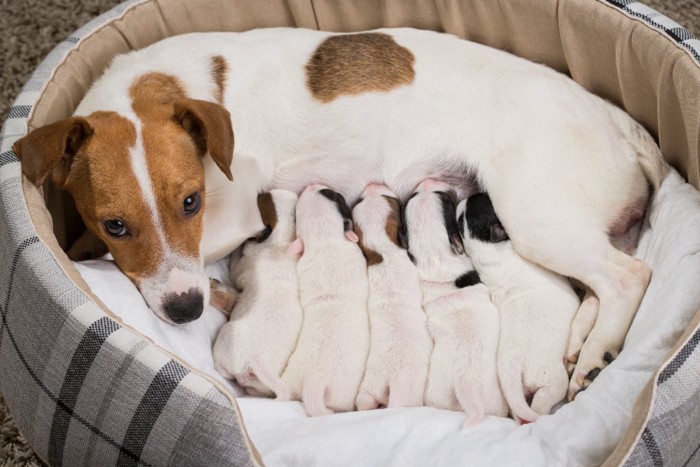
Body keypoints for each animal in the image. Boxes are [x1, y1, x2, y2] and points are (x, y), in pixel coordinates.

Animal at [212, 188, 302, 400]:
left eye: (262, 199)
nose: (262, 191)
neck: (281, 242)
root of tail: (255, 360)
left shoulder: (239, 269)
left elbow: (236, 263)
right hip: (262, 386)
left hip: (226, 337)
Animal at [350, 185, 432, 412]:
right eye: (391, 199)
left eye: (360, 200)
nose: (372, 184)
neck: (382, 250)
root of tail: (390, 385)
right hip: (409, 393)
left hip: (366, 393)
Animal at [456, 192, 576, 422]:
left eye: (460, 219)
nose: (471, 194)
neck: (486, 250)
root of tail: (511, 370)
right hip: (552, 380)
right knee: (541, 402)